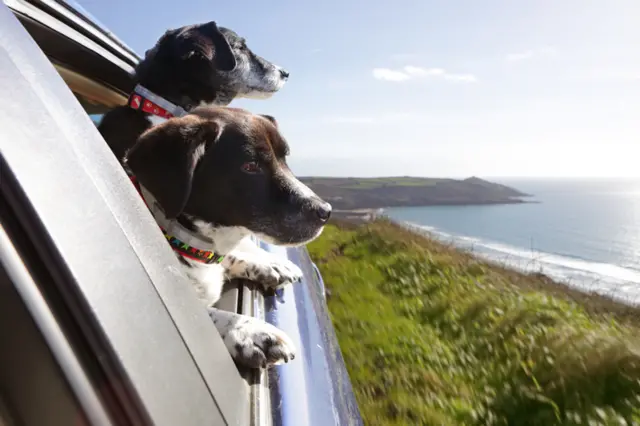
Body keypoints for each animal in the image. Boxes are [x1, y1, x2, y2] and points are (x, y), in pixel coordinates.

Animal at [126, 105, 336, 368]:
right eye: (250, 166)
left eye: (284, 158)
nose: (325, 211)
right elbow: (203, 317)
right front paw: (252, 332)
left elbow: (230, 257)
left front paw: (270, 265)